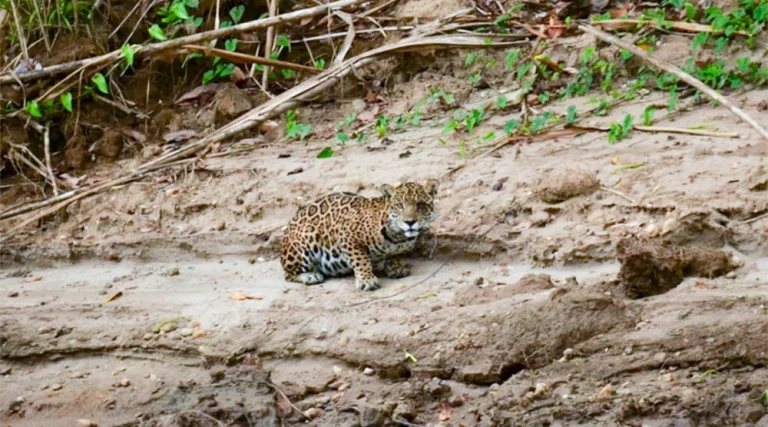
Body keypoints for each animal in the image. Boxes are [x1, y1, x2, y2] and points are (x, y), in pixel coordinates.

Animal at [280, 179, 439, 291]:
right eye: (400, 205)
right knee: (288, 274)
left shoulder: (399, 248)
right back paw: (310, 275)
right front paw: (367, 280)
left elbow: (395, 255)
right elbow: (361, 260)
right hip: (306, 239)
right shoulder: (348, 236)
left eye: (421, 205)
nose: (410, 222)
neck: (398, 237)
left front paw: (395, 268)